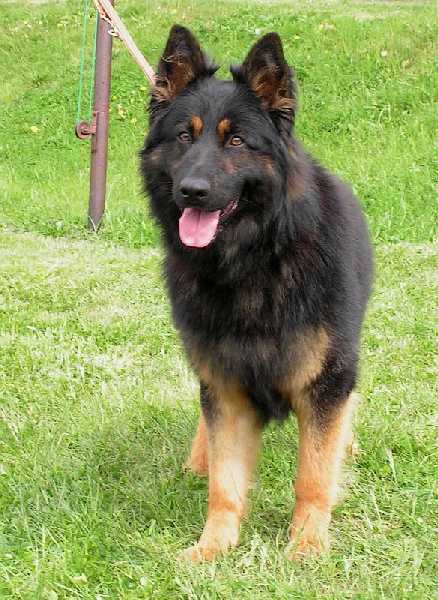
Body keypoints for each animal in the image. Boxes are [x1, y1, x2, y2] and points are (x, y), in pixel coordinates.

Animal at [140, 25, 373, 562]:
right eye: (184, 136)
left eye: (237, 140)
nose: (192, 190)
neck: (254, 262)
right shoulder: (225, 385)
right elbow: (225, 483)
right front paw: (213, 545)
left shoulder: (325, 382)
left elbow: (313, 474)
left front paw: (307, 544)